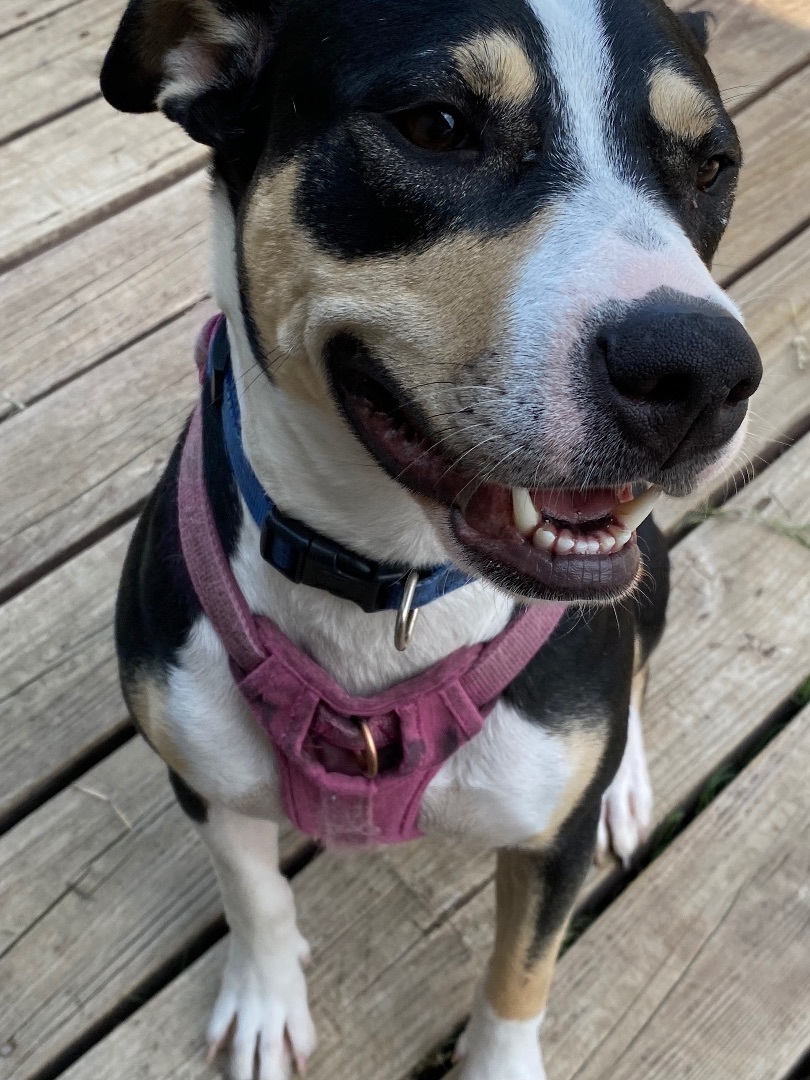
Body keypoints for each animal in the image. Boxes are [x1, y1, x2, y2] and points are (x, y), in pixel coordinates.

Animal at [101, 0, 762, 1076]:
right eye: (436, 126)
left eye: (712, 165)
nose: (700, 372)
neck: (386, 577)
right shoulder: (204, 774)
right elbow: (252, 895)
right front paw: (265, 998)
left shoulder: (549, 847)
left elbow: (520, 975)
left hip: (650, 575)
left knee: (636, 672)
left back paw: (623, 780)